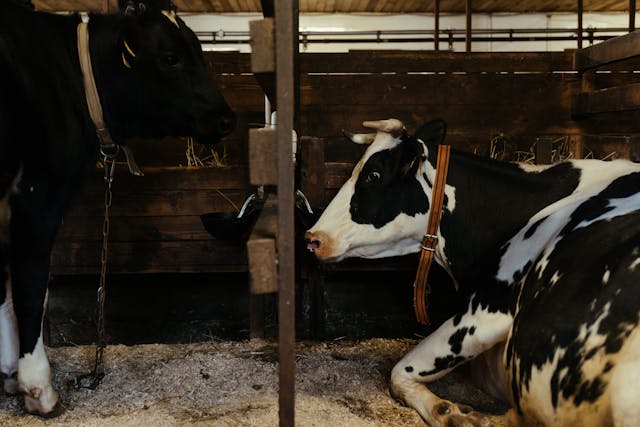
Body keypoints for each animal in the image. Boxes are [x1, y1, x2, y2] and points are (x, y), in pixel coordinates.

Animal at [0, 0, 235, 416]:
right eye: (170, 58)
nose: (226, 119)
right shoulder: (37, 196)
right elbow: (31, 284)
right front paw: (37, 386)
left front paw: (12, 373)